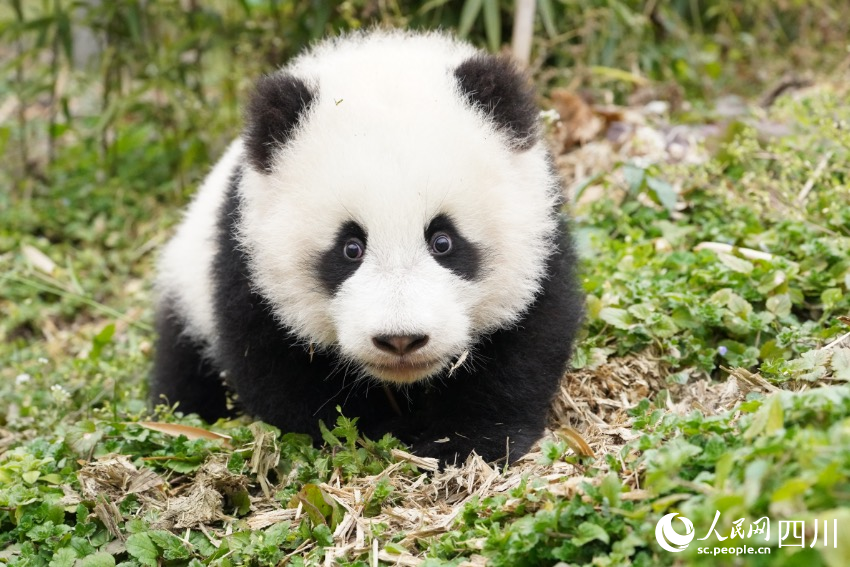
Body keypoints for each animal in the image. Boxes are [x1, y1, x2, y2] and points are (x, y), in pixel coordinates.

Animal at [151, 30, 584, 467]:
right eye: (350, 248)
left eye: (443, 241)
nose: (401, 340)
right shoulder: (247, 258)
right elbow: (278, 370)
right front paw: (386, 432)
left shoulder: (538, 245)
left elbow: (524, 345)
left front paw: (463, 443)